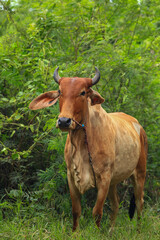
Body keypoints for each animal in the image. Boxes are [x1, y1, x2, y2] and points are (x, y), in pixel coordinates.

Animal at [29, 66, 148, 232]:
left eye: (83, 92)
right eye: (60, 91)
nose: (64, 121)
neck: (82, 142)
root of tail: (138, 126)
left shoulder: (104, 178)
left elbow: (97, 211)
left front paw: (96, 232)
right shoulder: (71, 176)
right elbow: (76, 210)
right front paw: (75, 233)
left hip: (139, 173)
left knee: (139, 202)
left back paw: (138, 230)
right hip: (114, 182)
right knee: (116, 204)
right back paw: (110, 231)